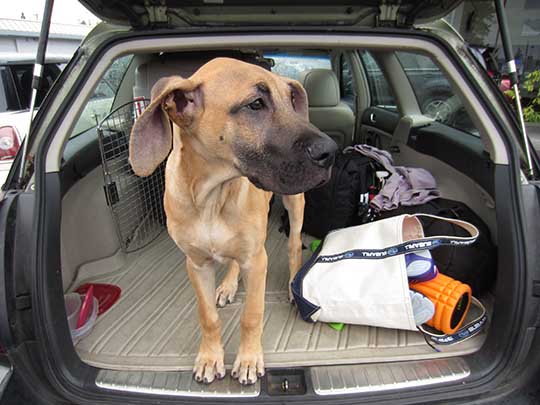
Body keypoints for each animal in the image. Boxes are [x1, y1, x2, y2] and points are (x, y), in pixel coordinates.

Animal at [128, 56, 336, 382]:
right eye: (255, 104)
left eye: (291, 102)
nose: (331, 152)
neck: (212, 196)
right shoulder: (196, 264)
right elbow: (207, 316)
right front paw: (209, 357)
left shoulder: (257, 260)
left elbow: (251, 315)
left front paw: (249, 360)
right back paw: (227, 285)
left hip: (295, 201)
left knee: (292, 245)